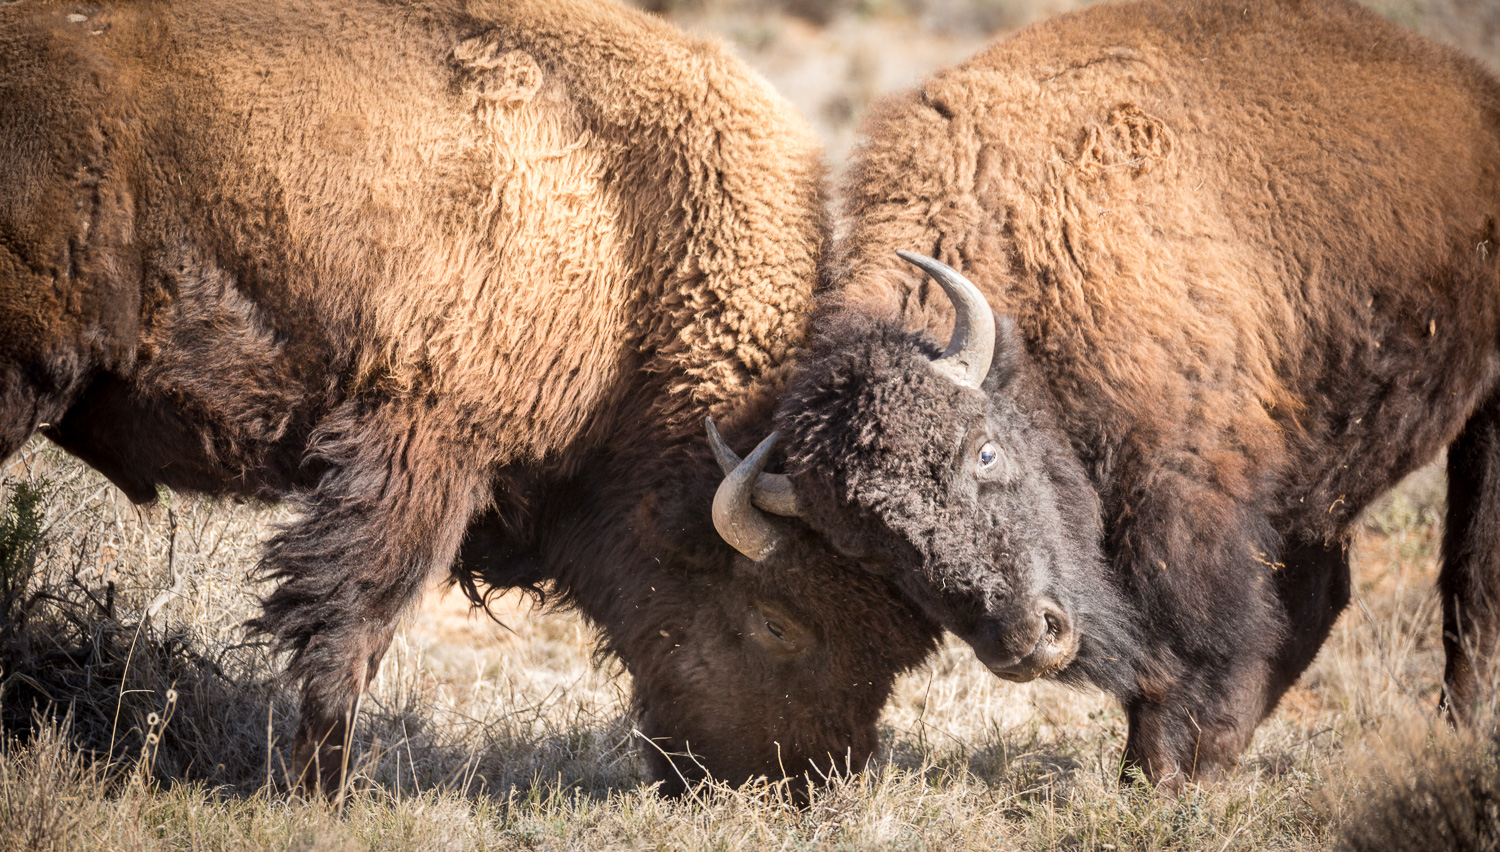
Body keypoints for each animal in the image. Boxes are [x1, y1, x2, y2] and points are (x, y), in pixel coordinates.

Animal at [0, 0, 941, 794]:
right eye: (782, 622)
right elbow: (352, 629)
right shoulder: (423, 450)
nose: (802, 785)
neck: (627, 237)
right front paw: (321, 796)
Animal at [712, 0, 1500, 788]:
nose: (1023, 643)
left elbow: (1197, 637)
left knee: (1471, 585)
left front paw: (1159, 774)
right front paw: (1177, 767)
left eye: (986, 452)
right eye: (874, 551)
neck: (1032, 261)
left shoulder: (1186, 494)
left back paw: (1453, 733)